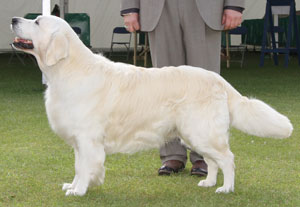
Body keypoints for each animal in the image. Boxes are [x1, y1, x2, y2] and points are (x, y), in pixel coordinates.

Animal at [11, 15, 292, 196]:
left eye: (37, 22)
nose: (13, 19)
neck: (68, 69)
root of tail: (219, 79)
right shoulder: (80, 141)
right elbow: (78, 166)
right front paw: (75, 185)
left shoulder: (87, 138)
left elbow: (84, 166)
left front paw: (79, 190)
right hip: (193, 134)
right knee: (213, 161)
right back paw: (210, 183)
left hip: (202, 131)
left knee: (228, 159)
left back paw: (226, 188)